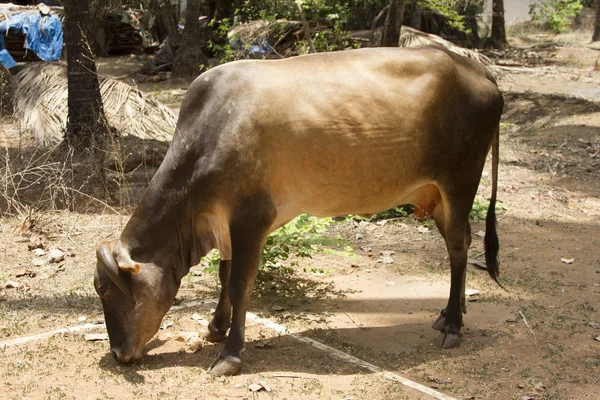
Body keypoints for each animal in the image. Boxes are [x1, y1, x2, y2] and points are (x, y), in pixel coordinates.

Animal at [96, 45, 504, 376]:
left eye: (104, 289)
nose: (118, 353)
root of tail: (475, 69)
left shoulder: (251, 218)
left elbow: (239, 284)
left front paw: (230, 354)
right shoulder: (226, 225)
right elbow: (224, 275)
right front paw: (215, 328)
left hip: (460, 182)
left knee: (458, 248)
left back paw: (452, 324)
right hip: (437, 195)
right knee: (461, 240)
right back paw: (450, 313)